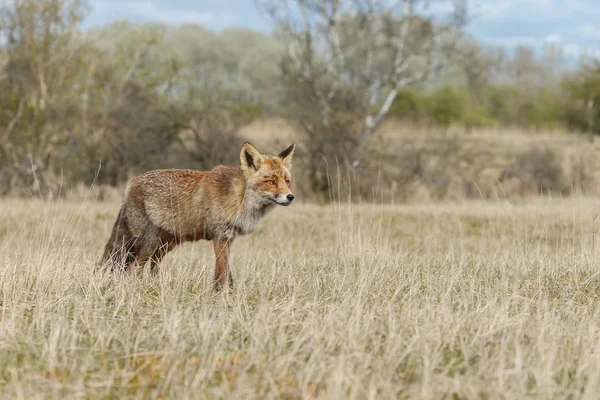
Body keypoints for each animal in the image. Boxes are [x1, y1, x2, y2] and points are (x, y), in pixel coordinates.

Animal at [101, 142, 296, 290]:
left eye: (287, 181)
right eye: (270, 182)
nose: (290, 197)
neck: (238, 197)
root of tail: (130, 185)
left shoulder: (229, 238)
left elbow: (226, 273)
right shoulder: (220, 237)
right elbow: (222, 274)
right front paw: (222, 296)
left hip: (165, 245)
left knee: (152, 267)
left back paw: (157, 286)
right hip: (148, 243)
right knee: (134, 269)